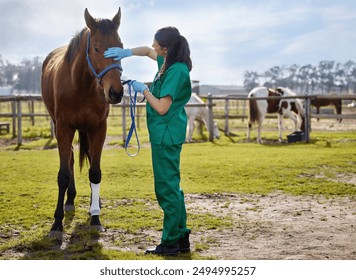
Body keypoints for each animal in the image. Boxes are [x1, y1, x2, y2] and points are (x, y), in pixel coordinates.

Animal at [41, 7, 125, 237]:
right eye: (96, 48)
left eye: (121, 46)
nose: (115, 92)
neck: (81, 85)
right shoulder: (63, 127)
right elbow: (63, 174)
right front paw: (57, 223)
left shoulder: (99, 128)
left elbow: (95, 173)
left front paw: (95, 217)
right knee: (69, 159)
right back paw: (69, 200)